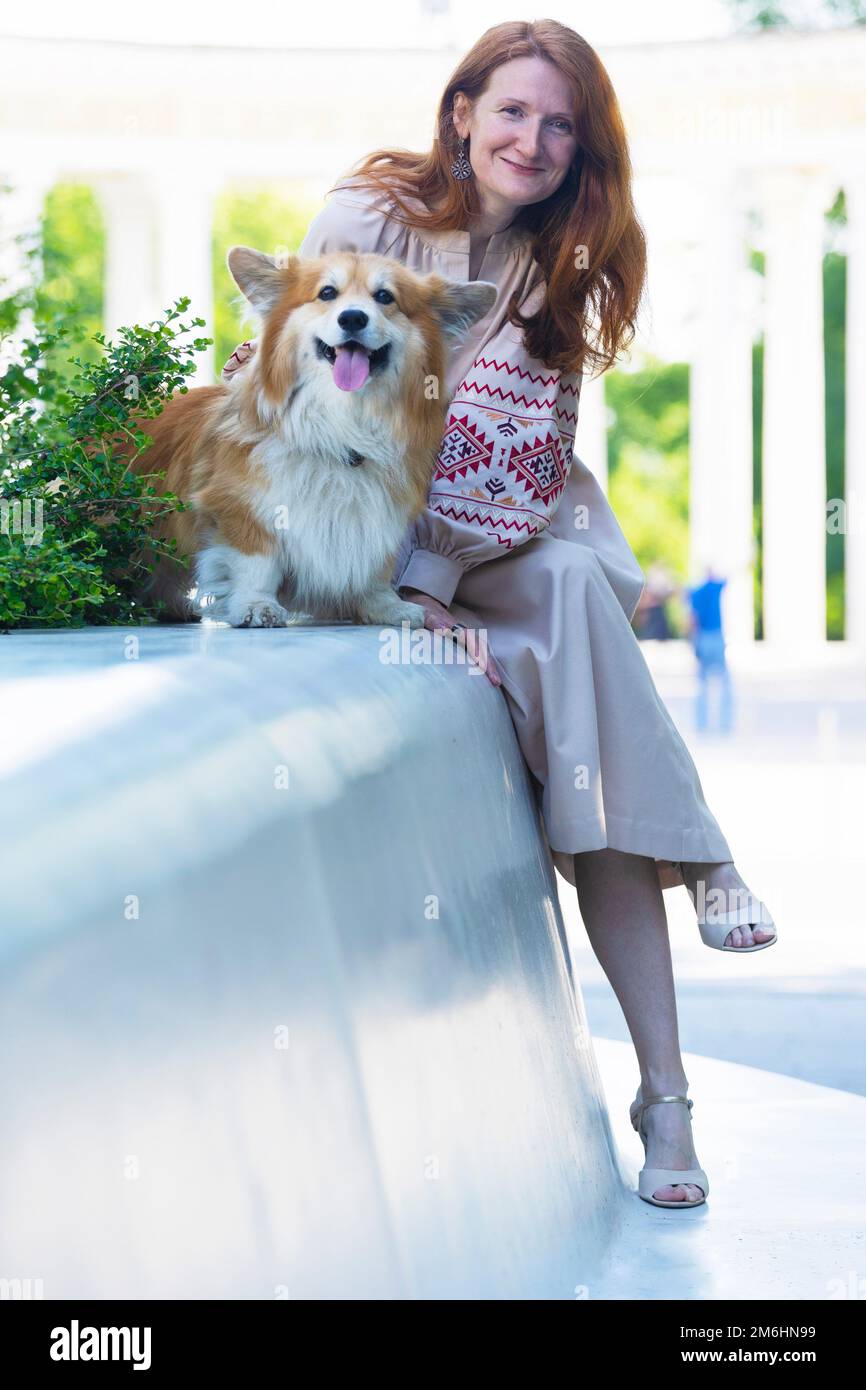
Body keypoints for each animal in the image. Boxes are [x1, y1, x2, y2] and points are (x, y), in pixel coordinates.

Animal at [126, 247, 497, 628]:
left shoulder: (379, 516)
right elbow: (256, 563)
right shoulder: (240, 508)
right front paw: (257, 605)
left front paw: (387, 606)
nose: (352, 318)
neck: (343, 424)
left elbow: (374, 567)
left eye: (385, 297)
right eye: (327, 293)